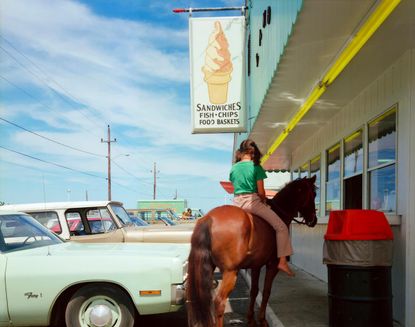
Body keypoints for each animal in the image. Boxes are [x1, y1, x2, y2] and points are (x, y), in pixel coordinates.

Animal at [188, 177, 318, 327]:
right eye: (314, 194)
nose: (314, 220)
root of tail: (209, 218)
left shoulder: (256, 266)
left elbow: (254, 291)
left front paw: (251, 319)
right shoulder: (272, 265)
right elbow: (266, 291)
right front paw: (262, 320)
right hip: (230, 272)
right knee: (219, 303)